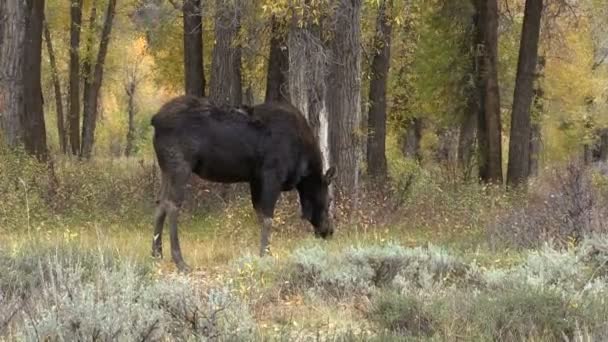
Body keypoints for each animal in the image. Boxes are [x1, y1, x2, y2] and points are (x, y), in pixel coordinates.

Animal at [150, 95, 334, 272]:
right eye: (329, 200)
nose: (329, 231)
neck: (304, 167)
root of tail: (155, 120)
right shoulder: (271, 175)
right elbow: (268, 217)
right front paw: (265, 254)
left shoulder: (255, 179)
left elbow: (260, 215)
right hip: (180, 166)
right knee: (172, 205)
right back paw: (180, 262)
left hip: (166, 169)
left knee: (160, 203)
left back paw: (156, 254)